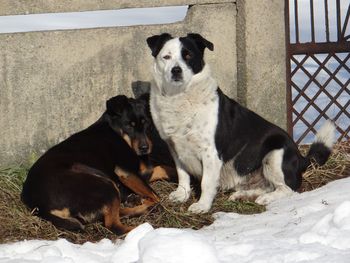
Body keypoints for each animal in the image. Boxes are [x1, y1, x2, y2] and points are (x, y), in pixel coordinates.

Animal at [21, 95, 163, 235]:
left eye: (147, 123)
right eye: (129, 125)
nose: (144, 148)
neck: (117, 132)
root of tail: (39, 205)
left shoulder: (144, 172)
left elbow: (161, 169)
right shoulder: (125, 172)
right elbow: (156, 196)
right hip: (104, 183)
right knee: (114, 225)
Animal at [146, 33, 334, 214]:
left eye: (188, 55)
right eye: (166, 57)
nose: (176, 70)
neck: (179, 96)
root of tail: (301, 159)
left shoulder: (210, 153)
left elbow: (206, 183)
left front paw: (202, 206)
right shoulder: (175, 148)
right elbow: (182, 174)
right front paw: (182, 194)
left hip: (275, 154)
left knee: (288, 189)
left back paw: (266, 198)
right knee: (266, 186)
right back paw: (244, 195)